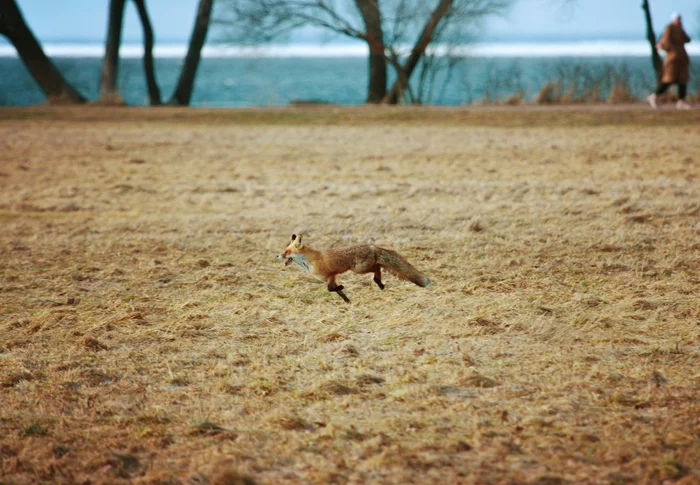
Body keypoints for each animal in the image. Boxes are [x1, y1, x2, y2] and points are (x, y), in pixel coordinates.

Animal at [276, 233, 430, 302]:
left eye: (287, 252)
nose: (278, 256)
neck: (311, 260)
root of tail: (373, 246)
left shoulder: (331, 274)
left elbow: (331, 289)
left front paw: (343, 289)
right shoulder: (331, 278)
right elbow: (336, 291)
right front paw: (347, 301)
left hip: (359, 268)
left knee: (377, 267)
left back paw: (379, 283)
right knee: (378, 267)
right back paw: (379, 283)